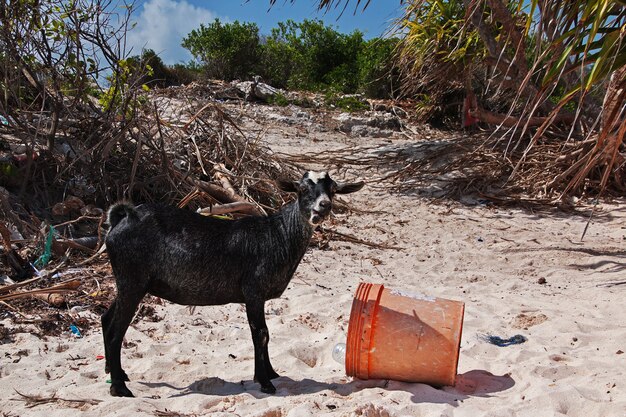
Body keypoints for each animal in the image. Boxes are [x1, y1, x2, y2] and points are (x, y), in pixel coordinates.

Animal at [98, 171, 360, 394]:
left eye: (333, 190)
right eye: (303, 189)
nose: (324, 206)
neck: (278, 235)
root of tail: (121, 218)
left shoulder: (259, 296)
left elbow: (265, 334)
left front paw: (271, 373)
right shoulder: (253, 291)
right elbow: (261, 334)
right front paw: (265, 382)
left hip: (128, 282)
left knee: (106, 318)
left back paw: (114, 371)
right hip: (132, 279)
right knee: (115, 331)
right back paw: (119, 388)